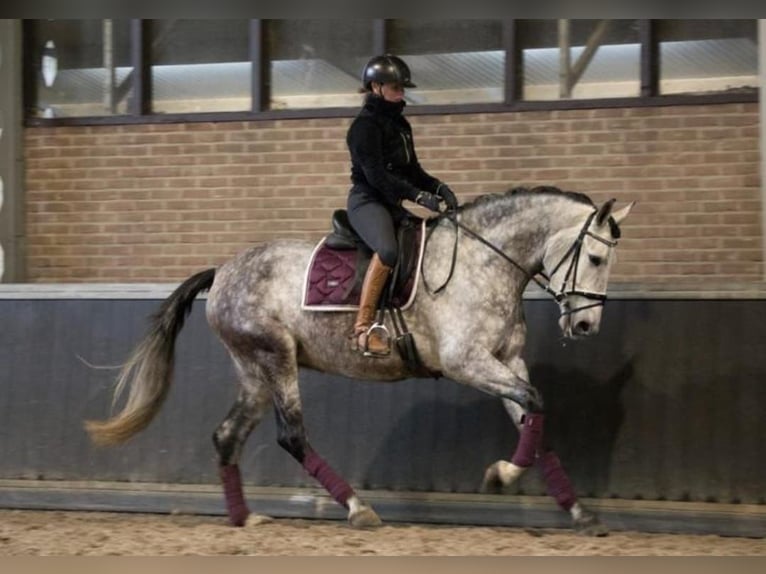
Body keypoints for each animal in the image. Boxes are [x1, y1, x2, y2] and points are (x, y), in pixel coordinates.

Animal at [85, 185, 634, 536]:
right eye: (596, 259)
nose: (586, 327)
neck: (487, 262)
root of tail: (222, 272)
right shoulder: (468, 362)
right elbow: (534, 404)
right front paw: (501, 476)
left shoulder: (508, 360)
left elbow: (534, 420)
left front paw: (579, 513)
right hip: (275, 358)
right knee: (292, 436)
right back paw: (358, 509)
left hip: (255, 373)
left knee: (227, 437)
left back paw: (243, 518)